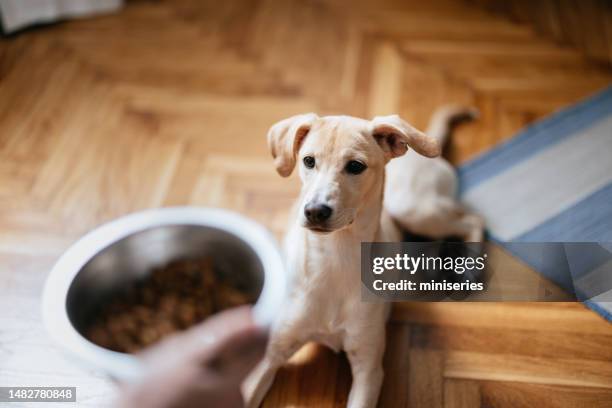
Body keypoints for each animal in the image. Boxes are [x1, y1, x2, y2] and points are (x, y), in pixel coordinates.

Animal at [244, 107, 482, 406]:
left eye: (355, 166)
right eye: (308, 161)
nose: (315, 211)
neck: (335, 257)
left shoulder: (368, 369)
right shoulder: (269, 354)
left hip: (414, 210)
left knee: (472, 219)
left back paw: (470, 269)